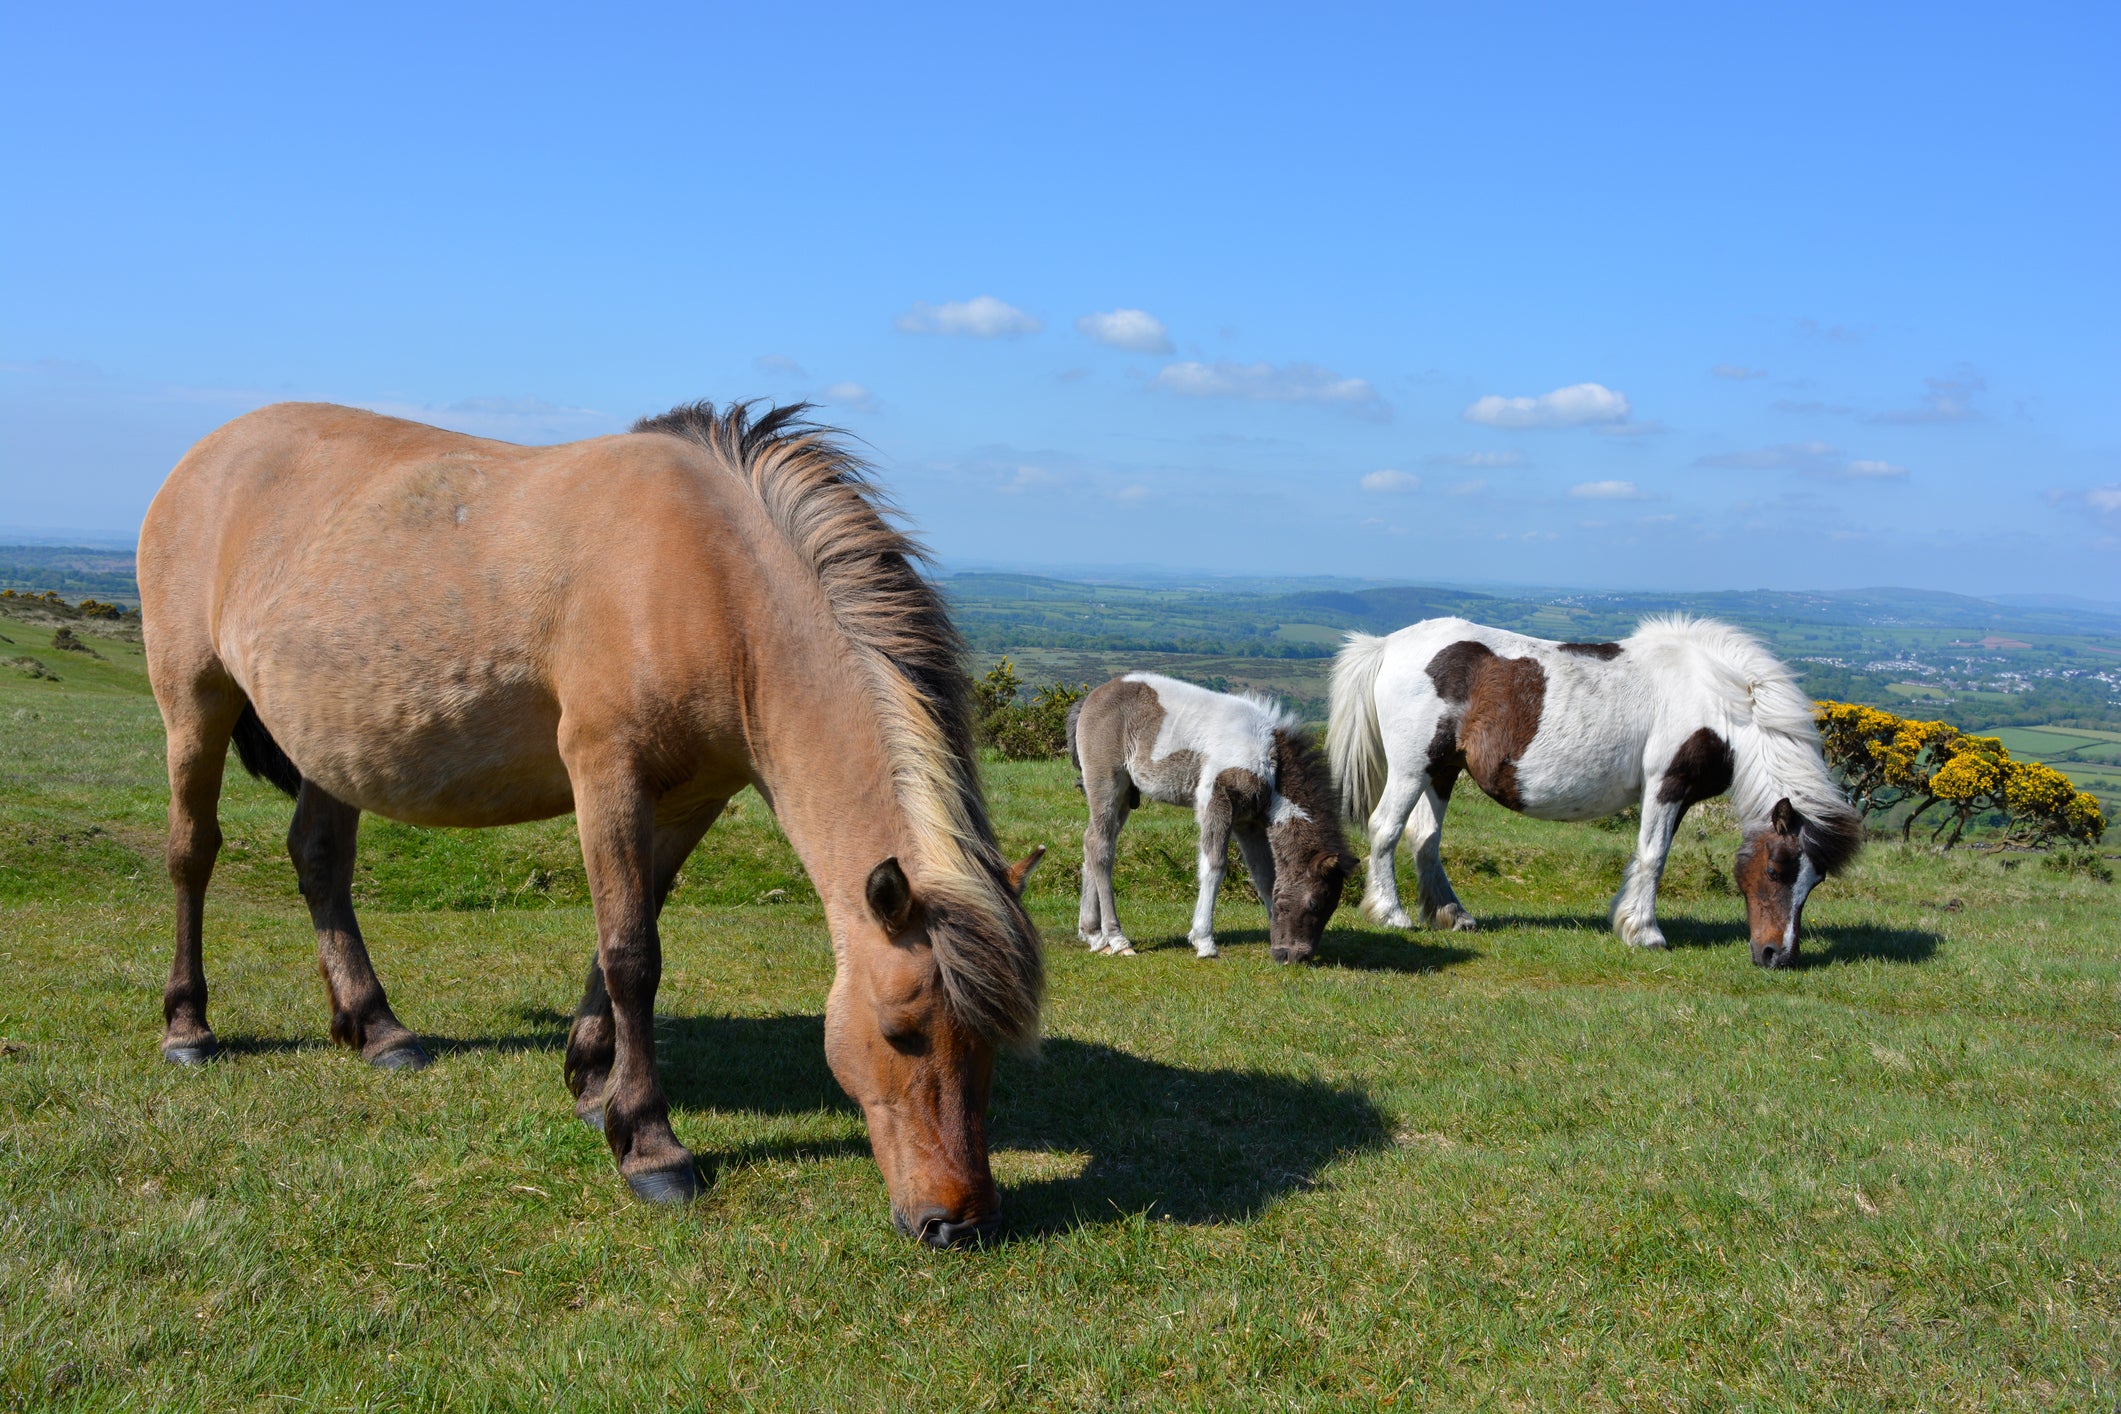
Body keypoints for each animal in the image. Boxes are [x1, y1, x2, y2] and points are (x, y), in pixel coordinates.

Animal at [137, 400, 1046, 1245]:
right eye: (900, 1033)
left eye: (995, 1044)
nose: (957, 1221)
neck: (708, 576)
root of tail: (203, 455)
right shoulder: (606, 771)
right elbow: (631, 954)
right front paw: (649, 1143)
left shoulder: (690, 797)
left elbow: (628, 931)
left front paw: (591, 1078)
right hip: (194, 701)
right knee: (192, 853)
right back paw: (188, 1025)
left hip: (336, 739)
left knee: (319, 859)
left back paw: (377, 1029)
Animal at [1066, 673, 1353, 963]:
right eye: (1314, 902)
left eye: (1331, 907)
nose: (1295, 956)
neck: (1268, 757)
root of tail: (1090, 699)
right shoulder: (1216, 799)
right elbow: (1214, 865)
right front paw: (1204, 941)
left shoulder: (1248, 822)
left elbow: (1265, 876)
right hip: (1106, 784)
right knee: (1101, 849)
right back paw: (1117, 939)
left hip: (1125, 795)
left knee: (1092, 843)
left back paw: (1094, 935)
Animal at [1327, 615, 1861, 967]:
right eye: (1775, 869)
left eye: (1814, 881)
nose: (1776, 955)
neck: (1718, 698)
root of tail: (1388, 645)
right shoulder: (1667, 784)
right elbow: (1654, 856)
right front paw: (1644, 932)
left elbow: (1646, 855)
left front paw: (1626, 918)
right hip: (1411, 767)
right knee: (1386, 829)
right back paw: (1391, 914)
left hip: (1441, 770)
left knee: (1425, 838)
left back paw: (1453, 914)